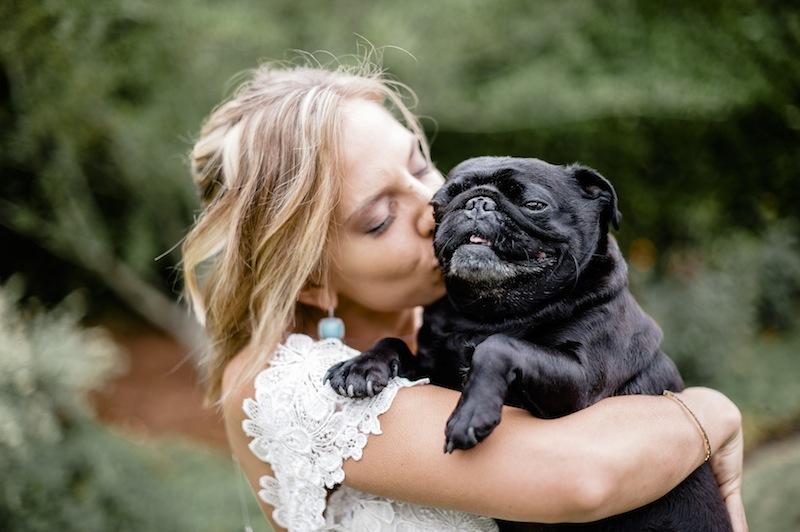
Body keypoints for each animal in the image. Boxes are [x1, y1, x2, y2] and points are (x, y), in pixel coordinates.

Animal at [324, 156, 732, 528]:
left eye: (534, 205)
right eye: (441, 202)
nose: (478, 201)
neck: (491, 313)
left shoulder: (579, 384)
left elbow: (497, 346)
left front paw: (469, 414)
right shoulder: (430, 368)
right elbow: (394, 340)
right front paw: (360, 366)